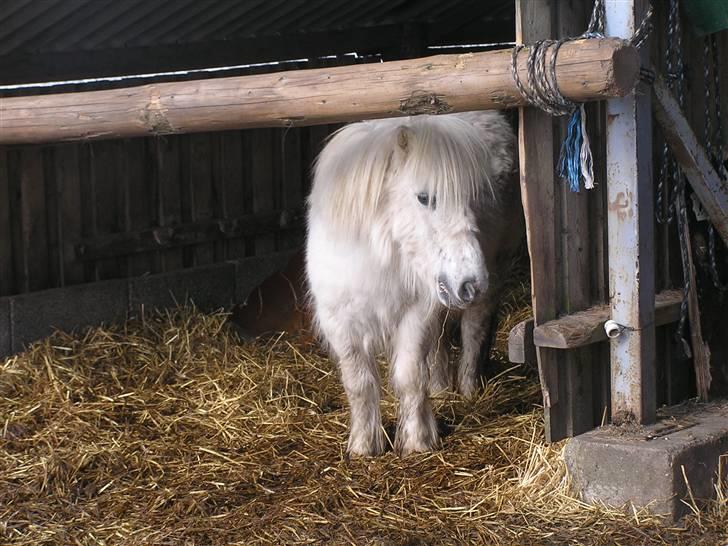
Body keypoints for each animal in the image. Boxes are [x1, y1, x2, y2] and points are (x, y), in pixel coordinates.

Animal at [304, 110, 520, 454]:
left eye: (472, 199)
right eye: (423, 197)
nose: (471, 282)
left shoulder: (414, 315)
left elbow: (410, 376)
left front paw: (417, 442)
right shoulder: (339, 322)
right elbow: (359, 384)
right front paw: (364, 446)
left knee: (473, 332)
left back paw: (468, 390)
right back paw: (442, 387)